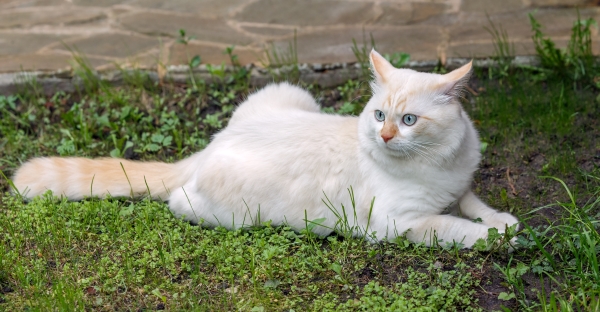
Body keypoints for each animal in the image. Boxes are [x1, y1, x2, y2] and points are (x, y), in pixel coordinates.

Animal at [11, 50, 516, 247]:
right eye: (379, 116)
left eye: (409, 120)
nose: (385, 136)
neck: (435, 164)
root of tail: (210, 146)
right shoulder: (398, 224)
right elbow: (453, 226)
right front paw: (497, 236)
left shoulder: (459, 184)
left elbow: (472, 203)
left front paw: (502, 221)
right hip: (234, 213)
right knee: (179, 202)